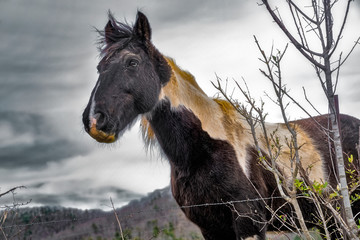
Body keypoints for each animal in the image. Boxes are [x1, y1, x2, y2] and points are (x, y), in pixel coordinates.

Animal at [82, 11, 360, 240]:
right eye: (98, 67)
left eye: (132, 62)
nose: (94, 120)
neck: (203, 149)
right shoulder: (211, 228)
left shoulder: (248, 222)